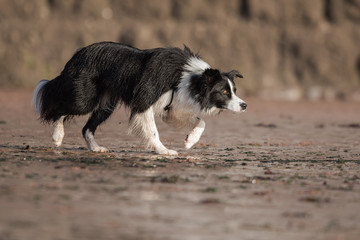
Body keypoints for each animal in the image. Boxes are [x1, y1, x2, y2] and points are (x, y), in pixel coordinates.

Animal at [32, 42, 246, 156]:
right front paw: (164, 151)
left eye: (234, 90)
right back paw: (57, 136)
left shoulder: (171, 109)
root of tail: (76, 55)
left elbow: (200, 121)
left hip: (106, 104)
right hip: (85, 99)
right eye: (224, 92)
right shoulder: (144, 102)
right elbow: (153, 131)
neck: (190, 77)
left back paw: (96, 148)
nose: (244, 105)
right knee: (59, 109)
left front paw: (189, 141)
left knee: (86, 127)